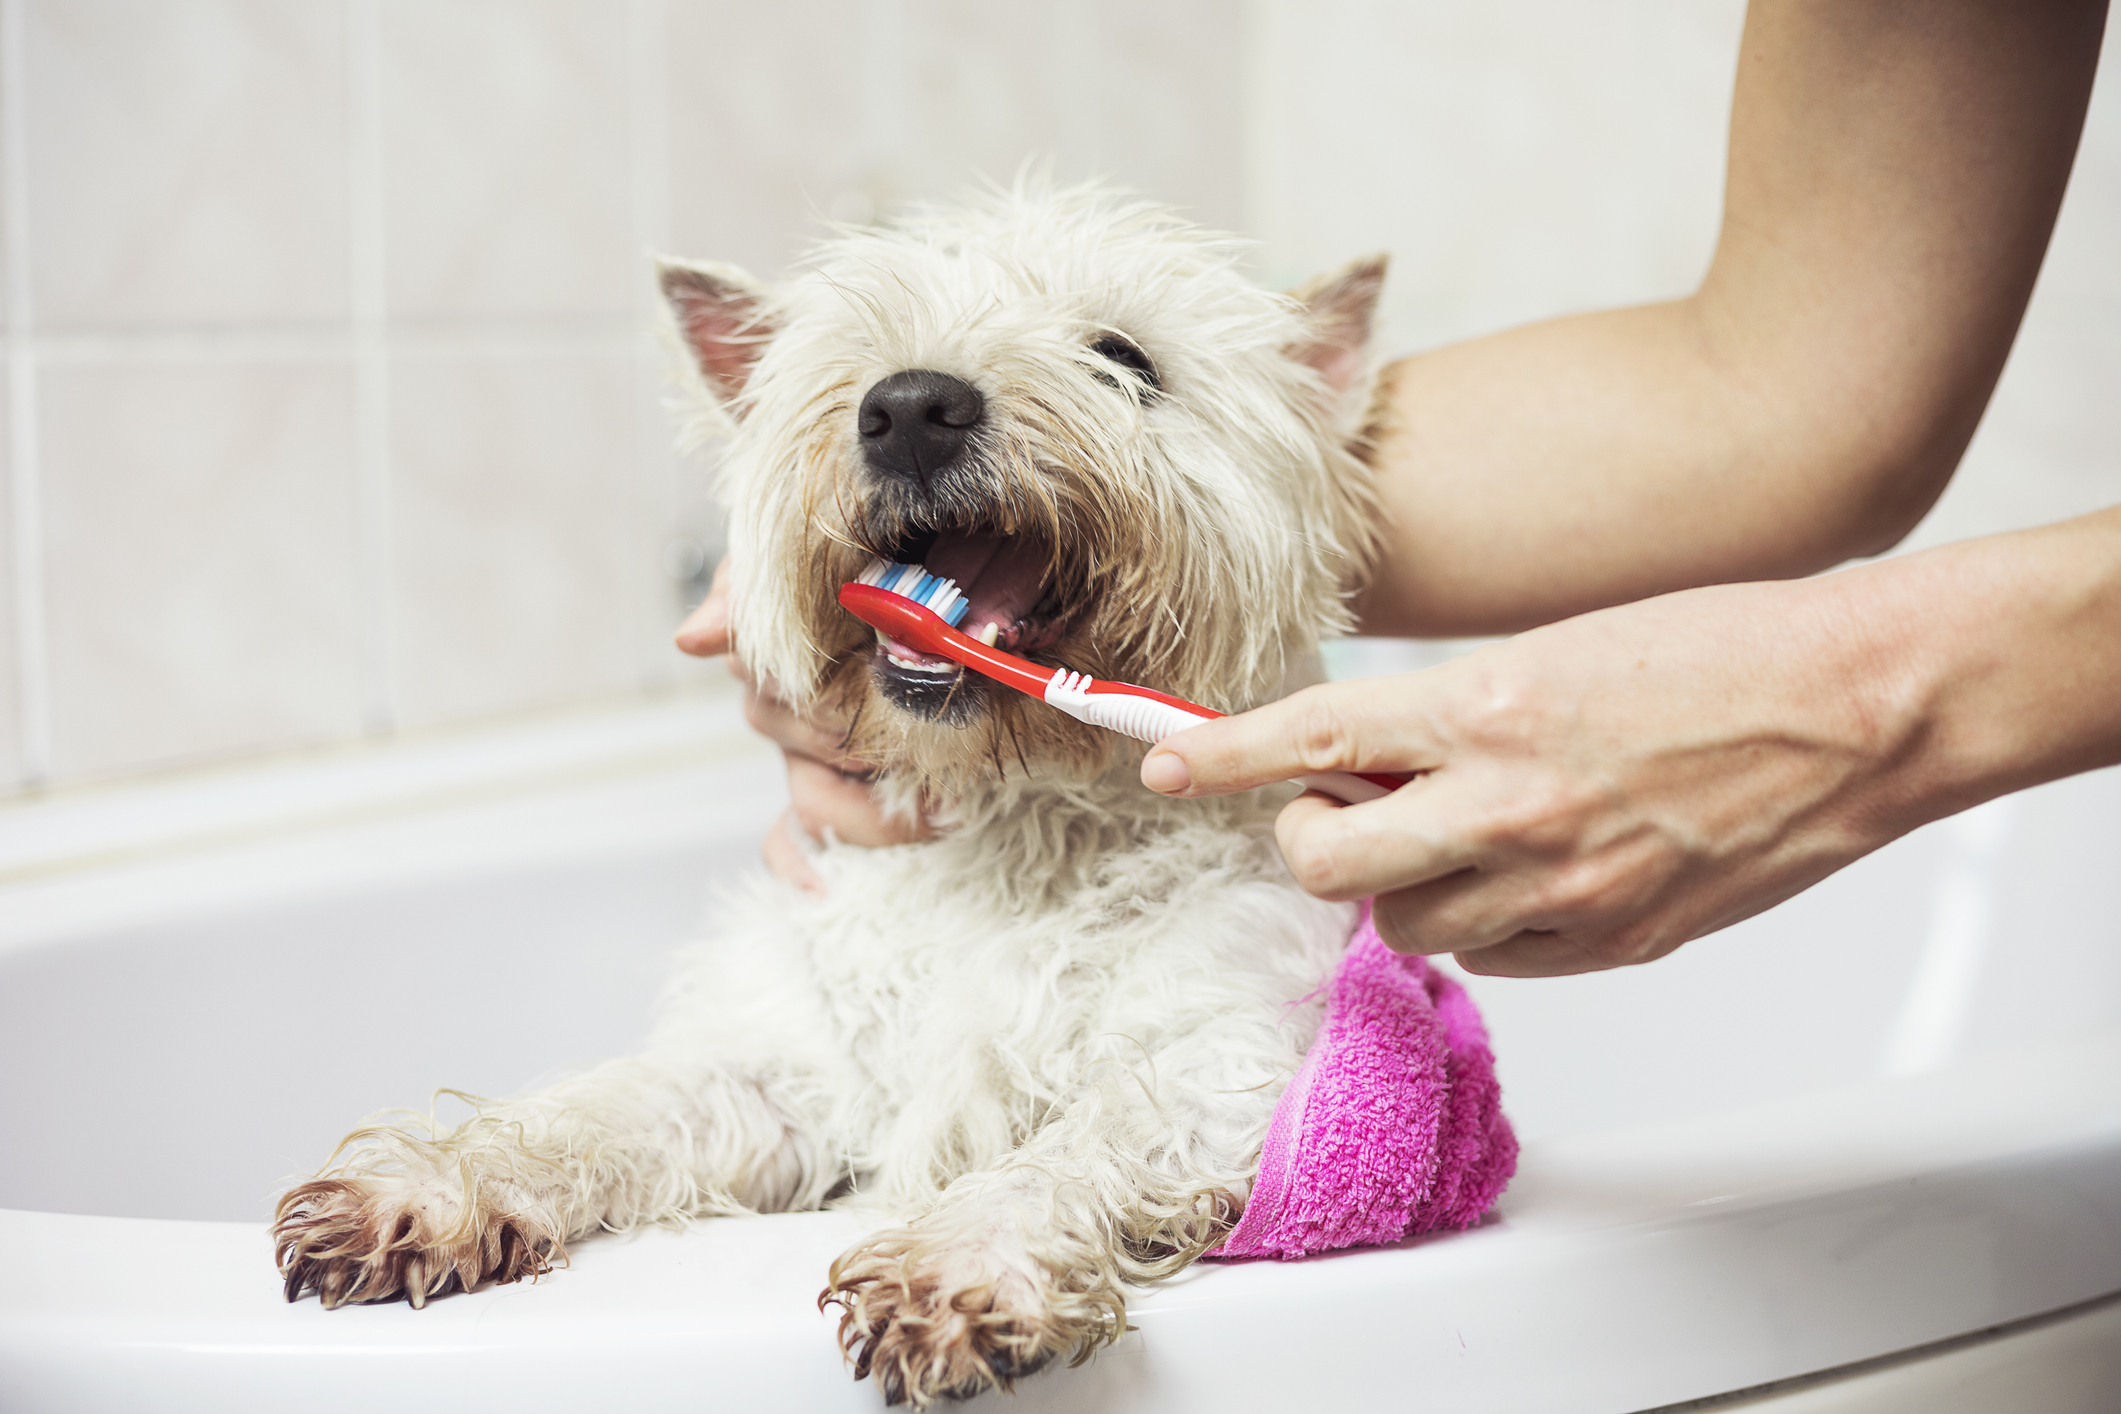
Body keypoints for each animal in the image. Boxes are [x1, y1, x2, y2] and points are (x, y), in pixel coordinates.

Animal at [269, 182, 1391, 1407]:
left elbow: (1077, 1145)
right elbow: (605, 1106)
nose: (910, 408)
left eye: (1124, 358)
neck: (1014, 823)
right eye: (858, 356)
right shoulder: (786, 1072)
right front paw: (431, 1183)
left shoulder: (1209, 1067)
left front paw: (962, 1262)